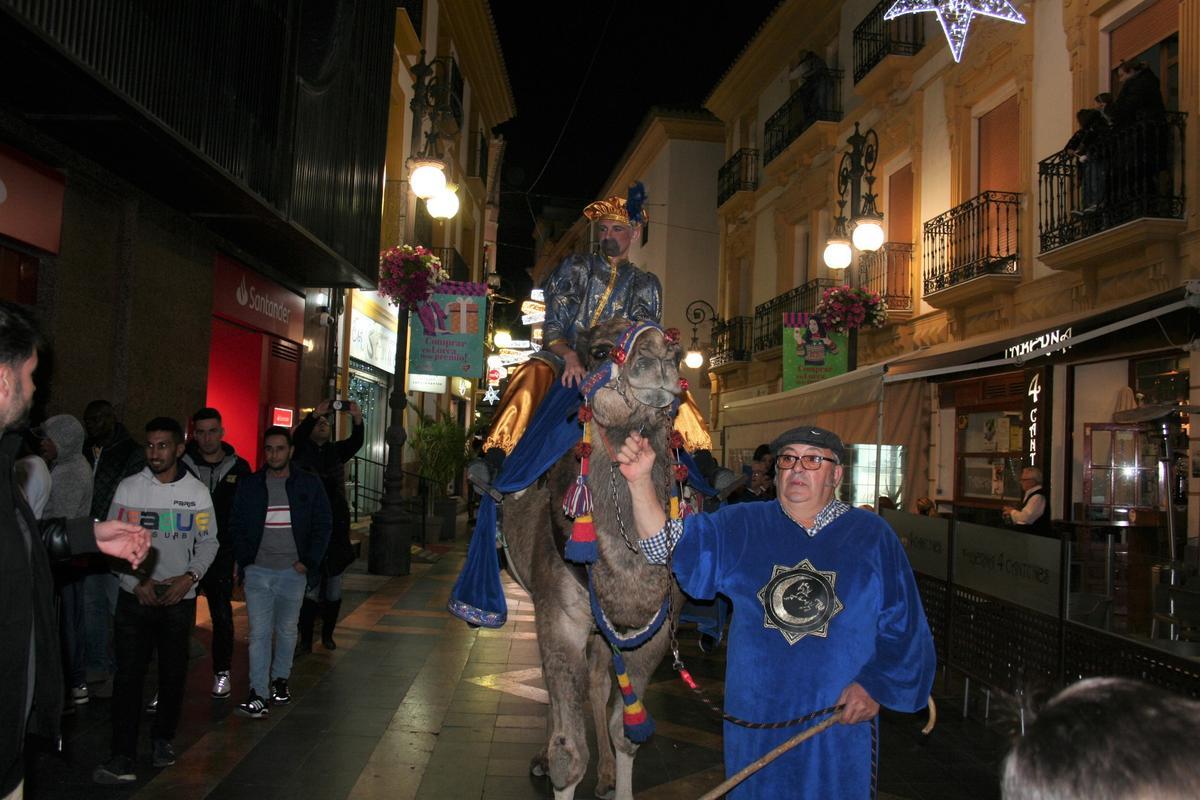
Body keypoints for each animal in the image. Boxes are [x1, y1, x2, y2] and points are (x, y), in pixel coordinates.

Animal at [496, 319, 686, 800]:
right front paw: (556, 763)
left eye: (678, 351)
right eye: (599, 351)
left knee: (599, 682)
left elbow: (626, 732)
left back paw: (604, 774)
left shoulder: (655, 631)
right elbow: (569, 753)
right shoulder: (560, 615)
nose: (660, 357)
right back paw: (544, 758)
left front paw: (615, 775)